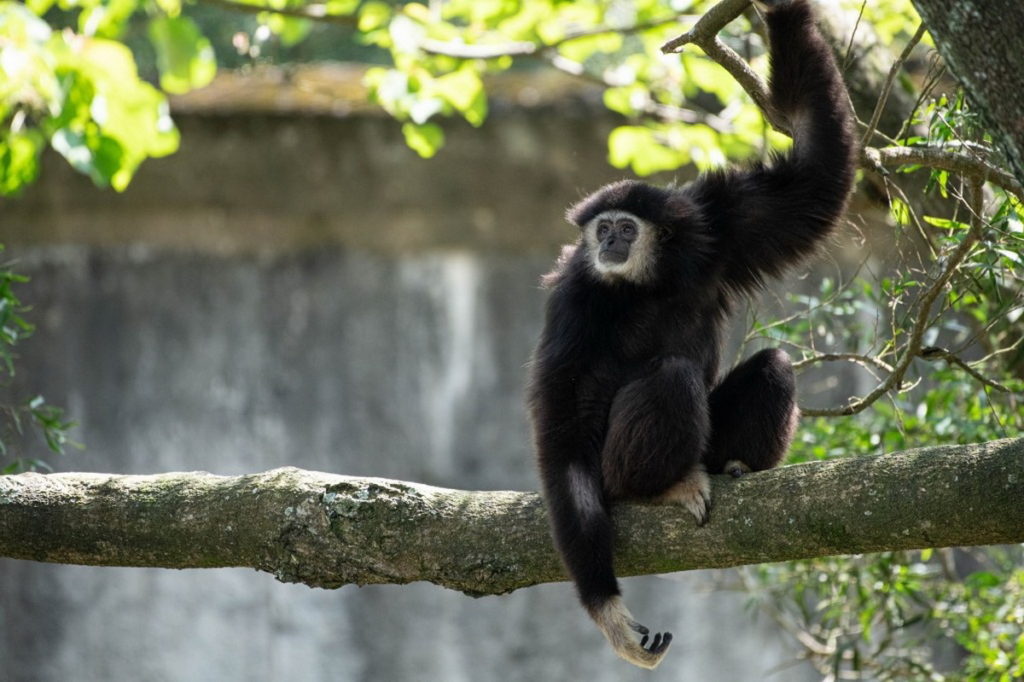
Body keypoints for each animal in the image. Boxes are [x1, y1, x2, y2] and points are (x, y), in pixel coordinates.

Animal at [526, 0, 856, 670]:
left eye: (626, 227)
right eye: (602, 230)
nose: (609, 241)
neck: (647, 281)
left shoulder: (723, 226)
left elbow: (815, 173)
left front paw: (780, 10)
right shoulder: (575, 297)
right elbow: (563, 432)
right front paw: (608, 611)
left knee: (774, 365)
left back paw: (734, 464)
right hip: (614, 470)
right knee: (672, 379)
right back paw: (662, 488)